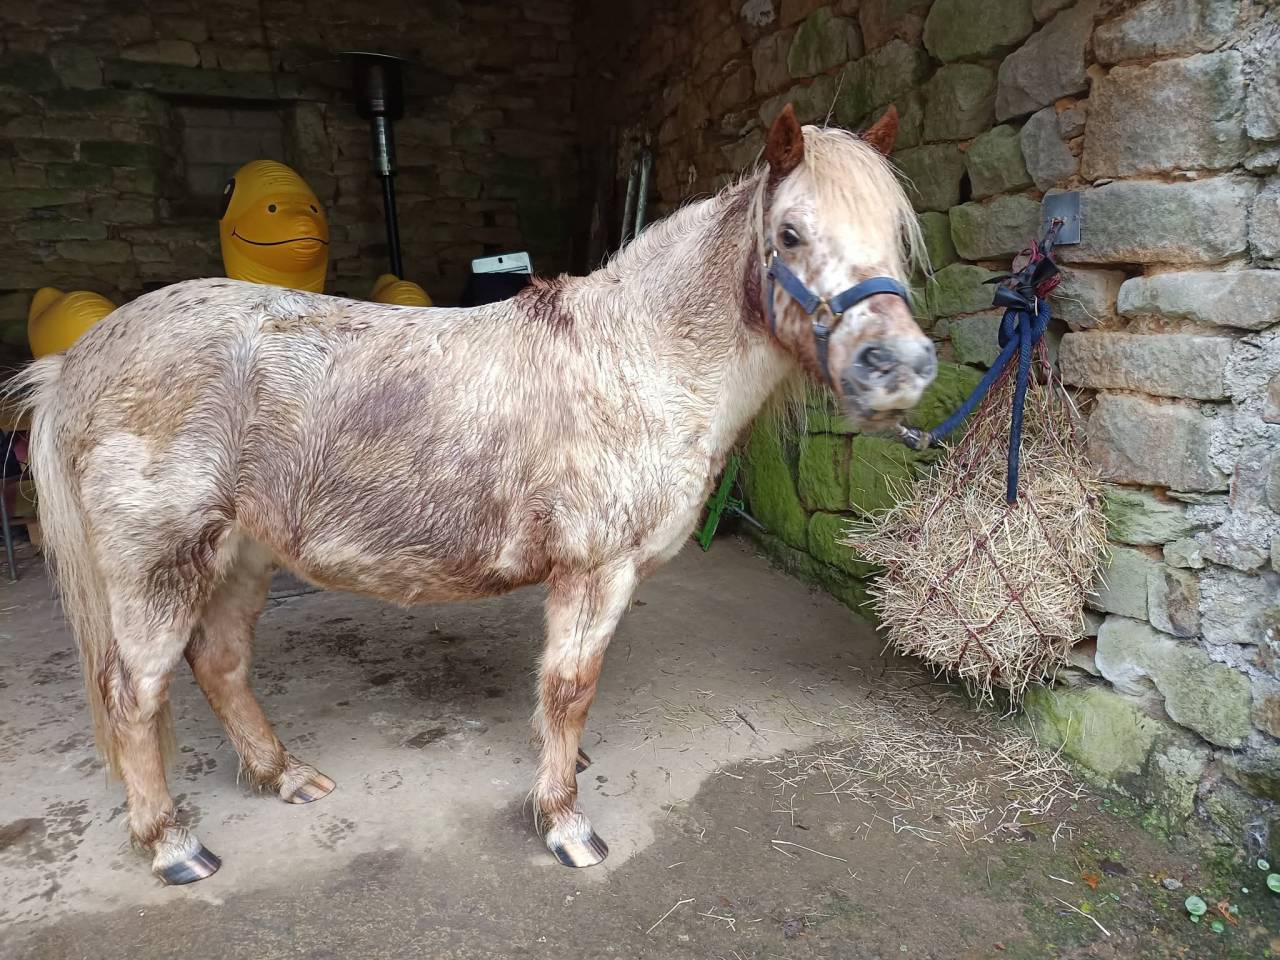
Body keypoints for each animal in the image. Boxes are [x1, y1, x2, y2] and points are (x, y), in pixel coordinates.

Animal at [11, 104, 935, 884]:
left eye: (895, 234)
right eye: (791, 233)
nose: (898, 368)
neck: (636, 361)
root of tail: (77, 362)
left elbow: (555, 699)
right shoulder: (595, 574)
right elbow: (569, 692)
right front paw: (563, 822)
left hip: (239, 554)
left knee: (220, 665)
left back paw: (285, 775)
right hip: (158, 569)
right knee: (136, 695)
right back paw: (173, 845)